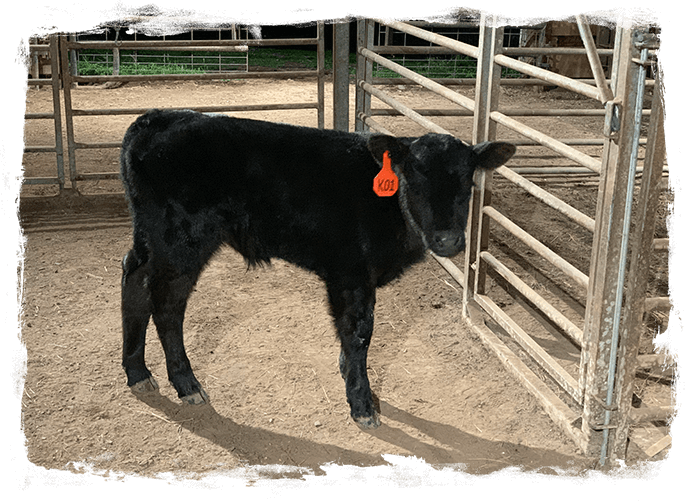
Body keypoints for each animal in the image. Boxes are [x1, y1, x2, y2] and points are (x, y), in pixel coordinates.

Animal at [120, 108, 512, 426]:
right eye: (413, 179)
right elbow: (359, 333)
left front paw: (347, 374)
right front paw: (362, 403)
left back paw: (137, 371)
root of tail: (157, 117)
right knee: (168, 304)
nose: (448, 239)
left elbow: (348, 334)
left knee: (134, 279)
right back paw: (186, 383)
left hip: (153, 239)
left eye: (467, 182)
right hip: (181, 242)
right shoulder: (351, 273)